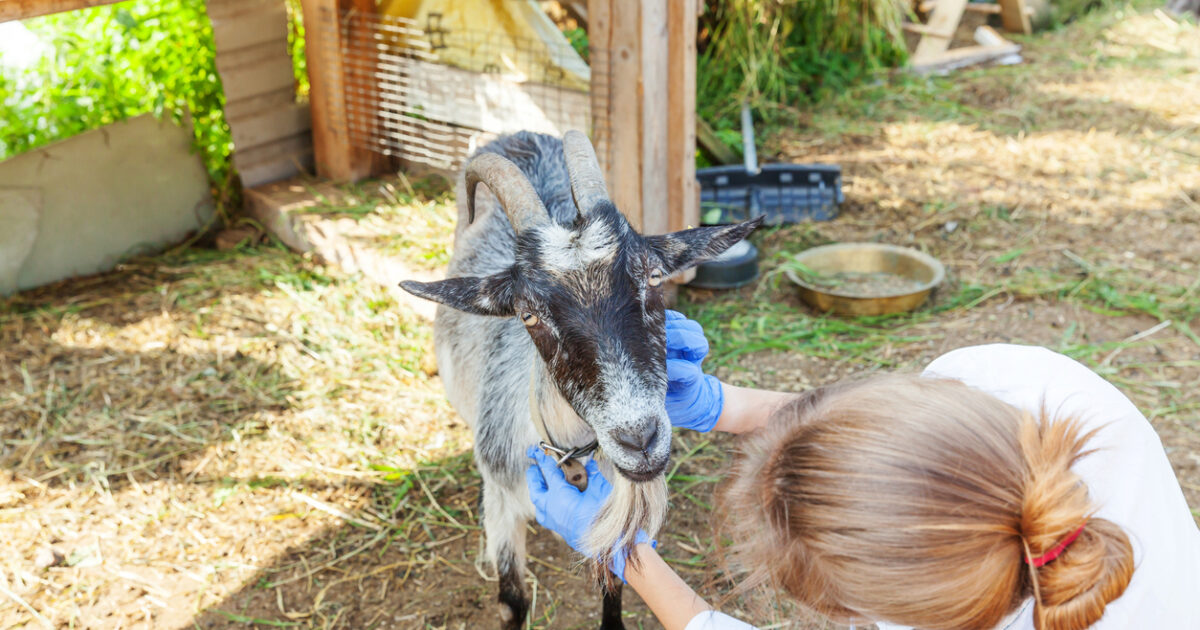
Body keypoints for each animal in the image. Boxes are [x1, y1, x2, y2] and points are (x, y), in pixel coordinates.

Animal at [400, 130, 758, 624]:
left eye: (653, 277)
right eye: (527, 314)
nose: (639, 440)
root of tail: (519, 134)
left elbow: (614, 591)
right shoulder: (502, 502)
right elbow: (513, 599)